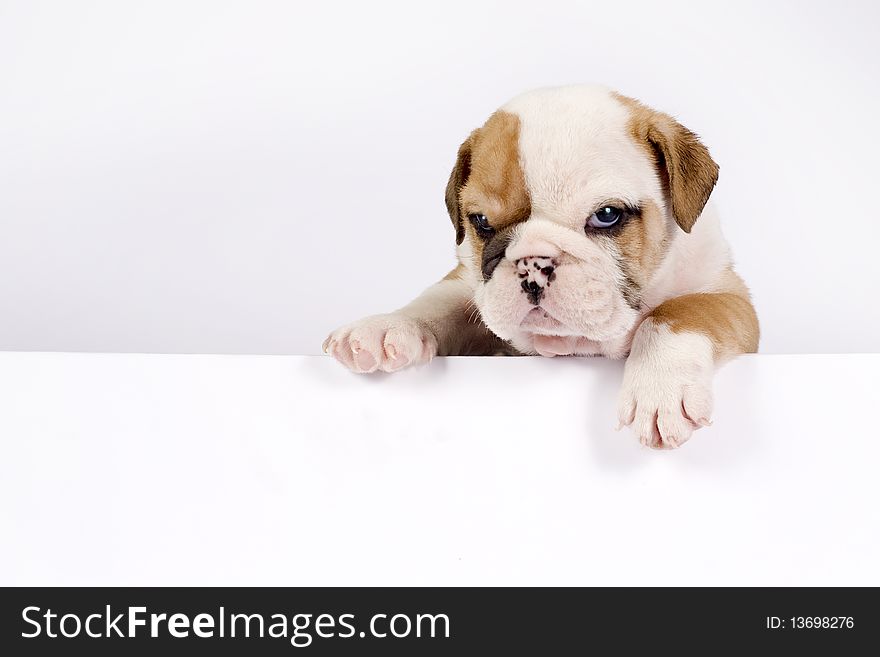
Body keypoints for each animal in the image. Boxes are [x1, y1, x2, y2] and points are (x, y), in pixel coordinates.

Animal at [324, 84, 756, 448]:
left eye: (607, 215)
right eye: (482, 222)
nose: (533, 263)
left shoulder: (728, 295)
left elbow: (681, 312)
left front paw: (659, 389)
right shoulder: (469, 285)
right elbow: (438, 300)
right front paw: (385, 327)